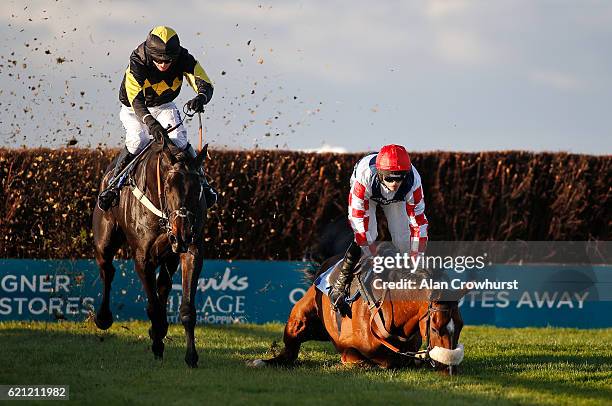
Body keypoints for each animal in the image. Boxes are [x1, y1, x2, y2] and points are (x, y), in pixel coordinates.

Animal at [92, 143, 208, 368]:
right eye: (168, 187)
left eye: (198, 187)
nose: (182, 233)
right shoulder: (142, 258)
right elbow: (153, 307)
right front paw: (157, 340)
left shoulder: (191, 251)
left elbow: (187, 308)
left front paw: (191, 356)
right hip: (105, 238)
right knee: (107, 269)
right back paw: (103, 317)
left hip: (170, 255)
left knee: (163, 285)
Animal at [249, 255, 464, 372]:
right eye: (435, 328)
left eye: (461, 326)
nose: (449, 367)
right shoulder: (349, 350)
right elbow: (380, 361)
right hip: (298, 321)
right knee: (289, 354)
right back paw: (260, 362)